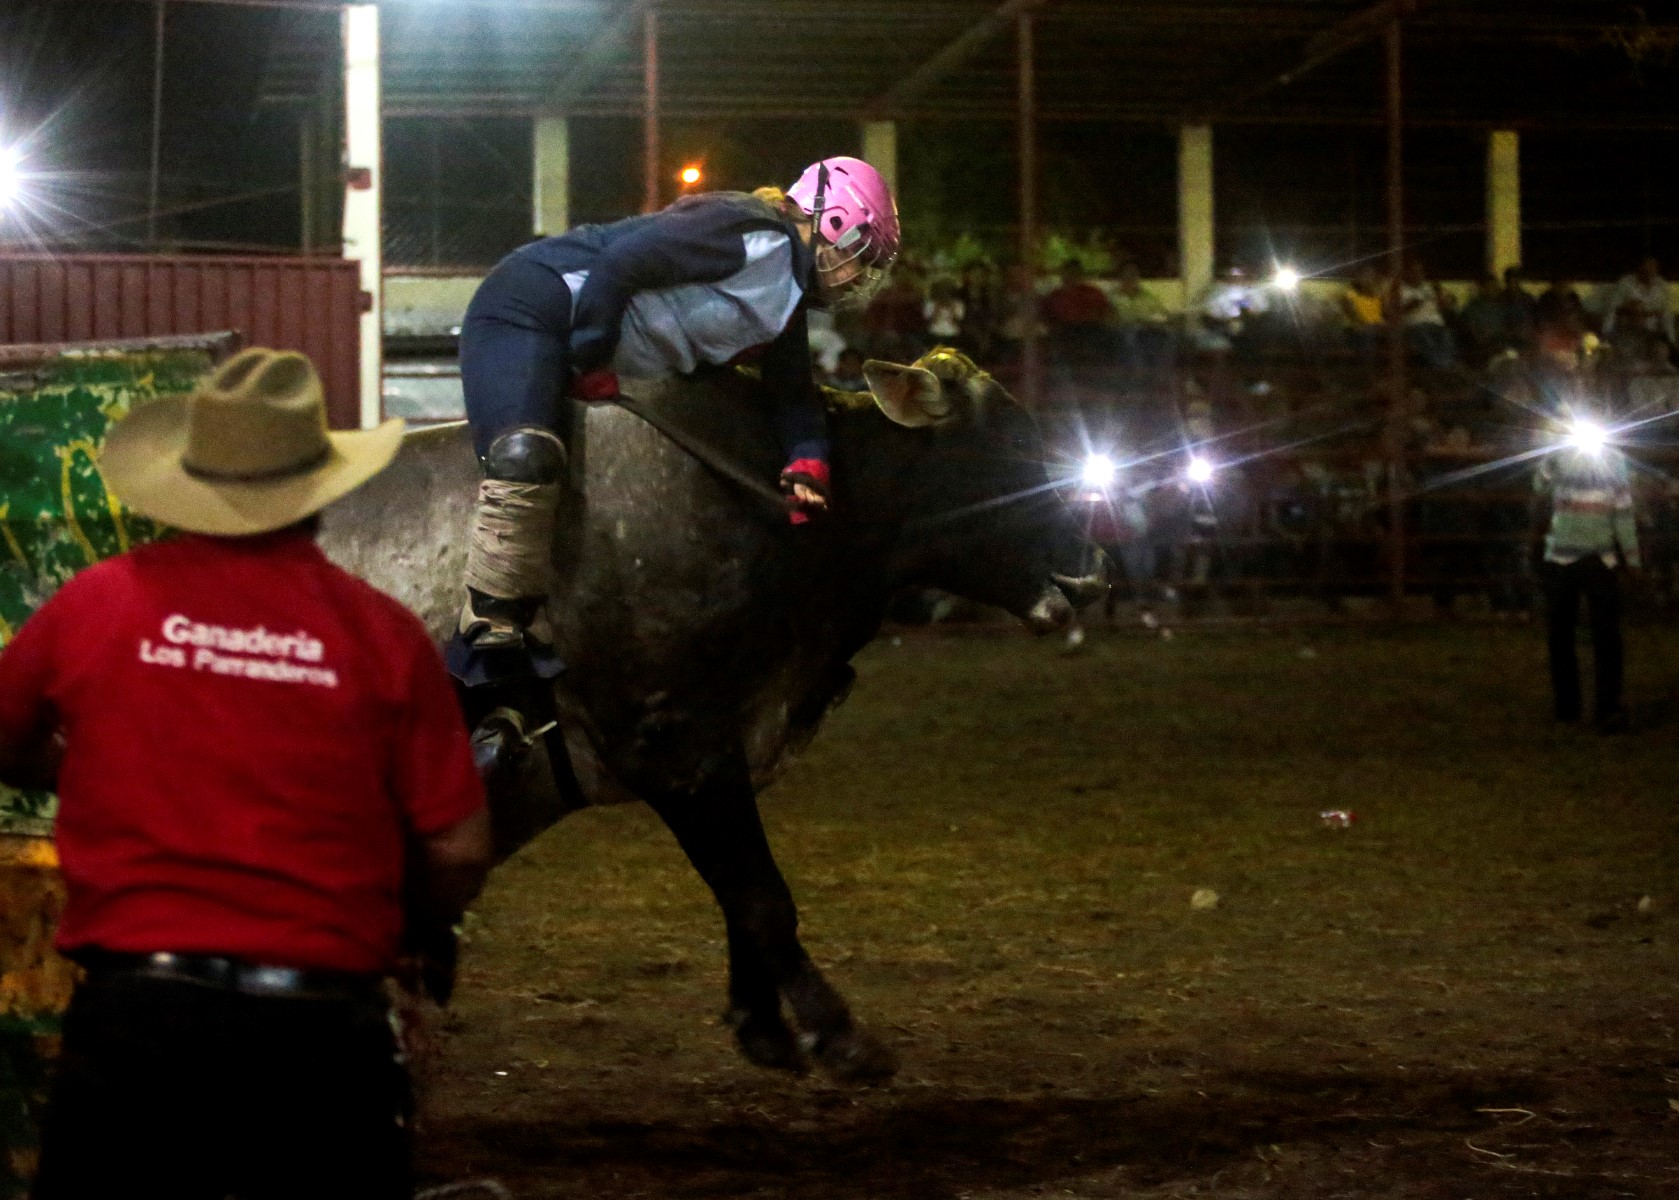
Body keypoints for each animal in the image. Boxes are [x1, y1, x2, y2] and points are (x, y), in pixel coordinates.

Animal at [319, 352, 1094, 1087]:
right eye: (1012, 445)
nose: (1089, 575)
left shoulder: (722, 747)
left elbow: (741, 892)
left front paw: (763, 1023)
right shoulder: (677, 748)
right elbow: (758, 894)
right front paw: (839, 1037)